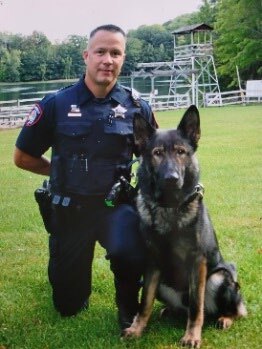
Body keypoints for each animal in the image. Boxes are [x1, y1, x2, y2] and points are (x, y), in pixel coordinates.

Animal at [124, 104, 247, 346]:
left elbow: (196, 307)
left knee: (233, 309)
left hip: (219, 278)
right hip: (162, 282)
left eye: (181, 152)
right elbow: (144, 303)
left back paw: (225, 319)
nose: (171, 178)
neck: (170, 208)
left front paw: (192, 336)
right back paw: (170, 312)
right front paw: (137, 328)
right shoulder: (152, 263)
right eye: (157, 153)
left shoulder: (197, 262)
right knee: (179, 308)